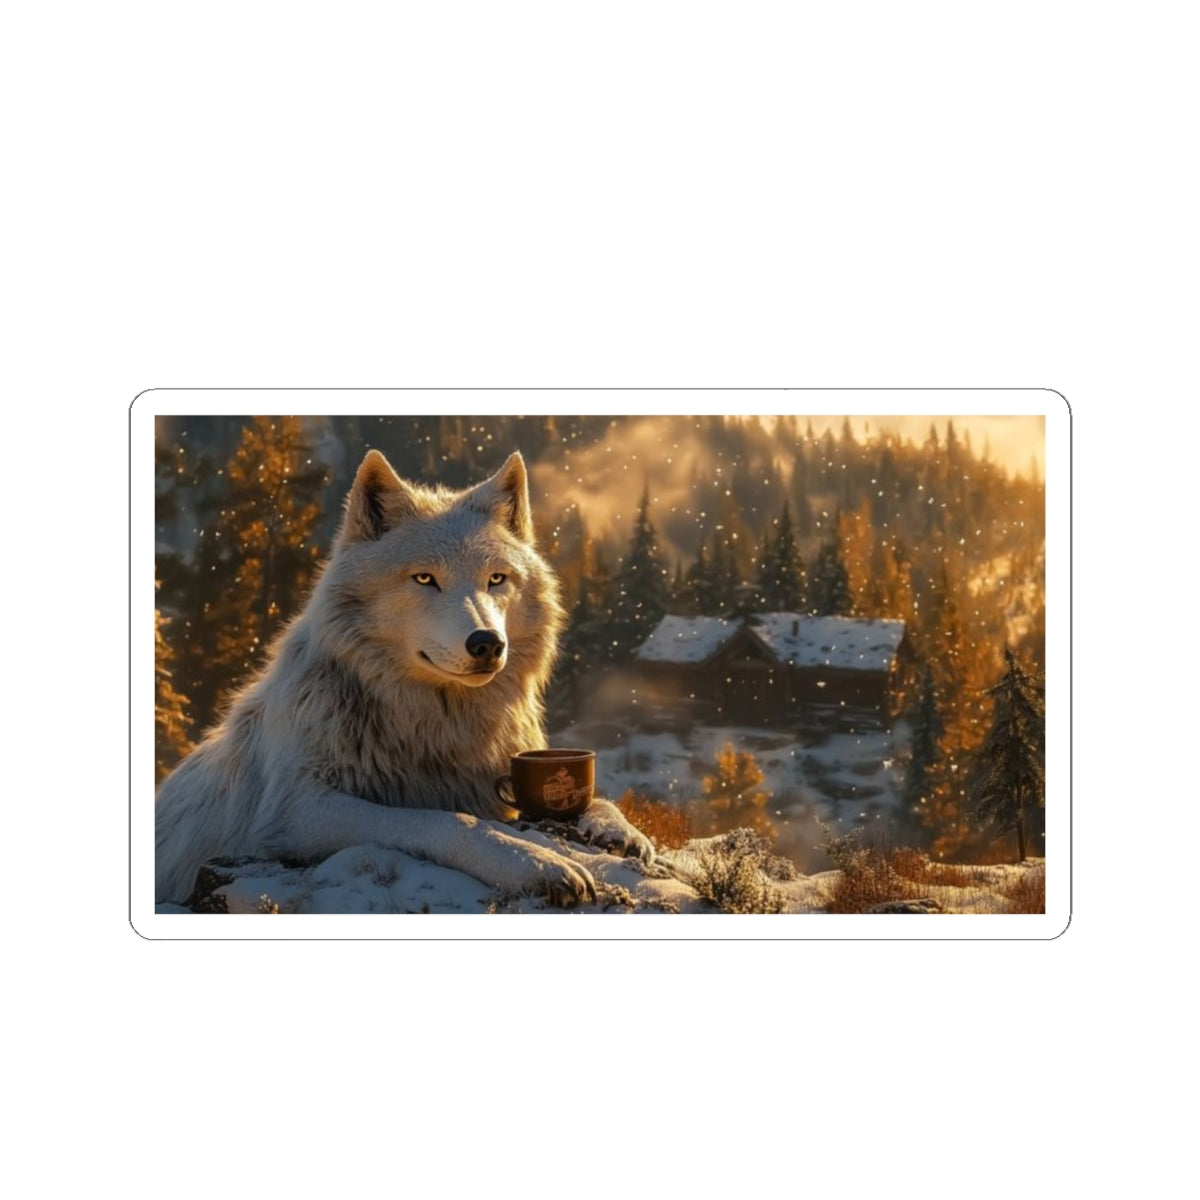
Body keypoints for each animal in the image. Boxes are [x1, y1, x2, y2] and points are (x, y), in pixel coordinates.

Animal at [155, 448, 652, 907]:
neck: (433, 726)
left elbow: (599, 799)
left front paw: (619, 829)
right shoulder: (295, 811)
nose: (487, 643)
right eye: (425, 579)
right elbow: (447, 820)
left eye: (496, 579)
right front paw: (536, 862)